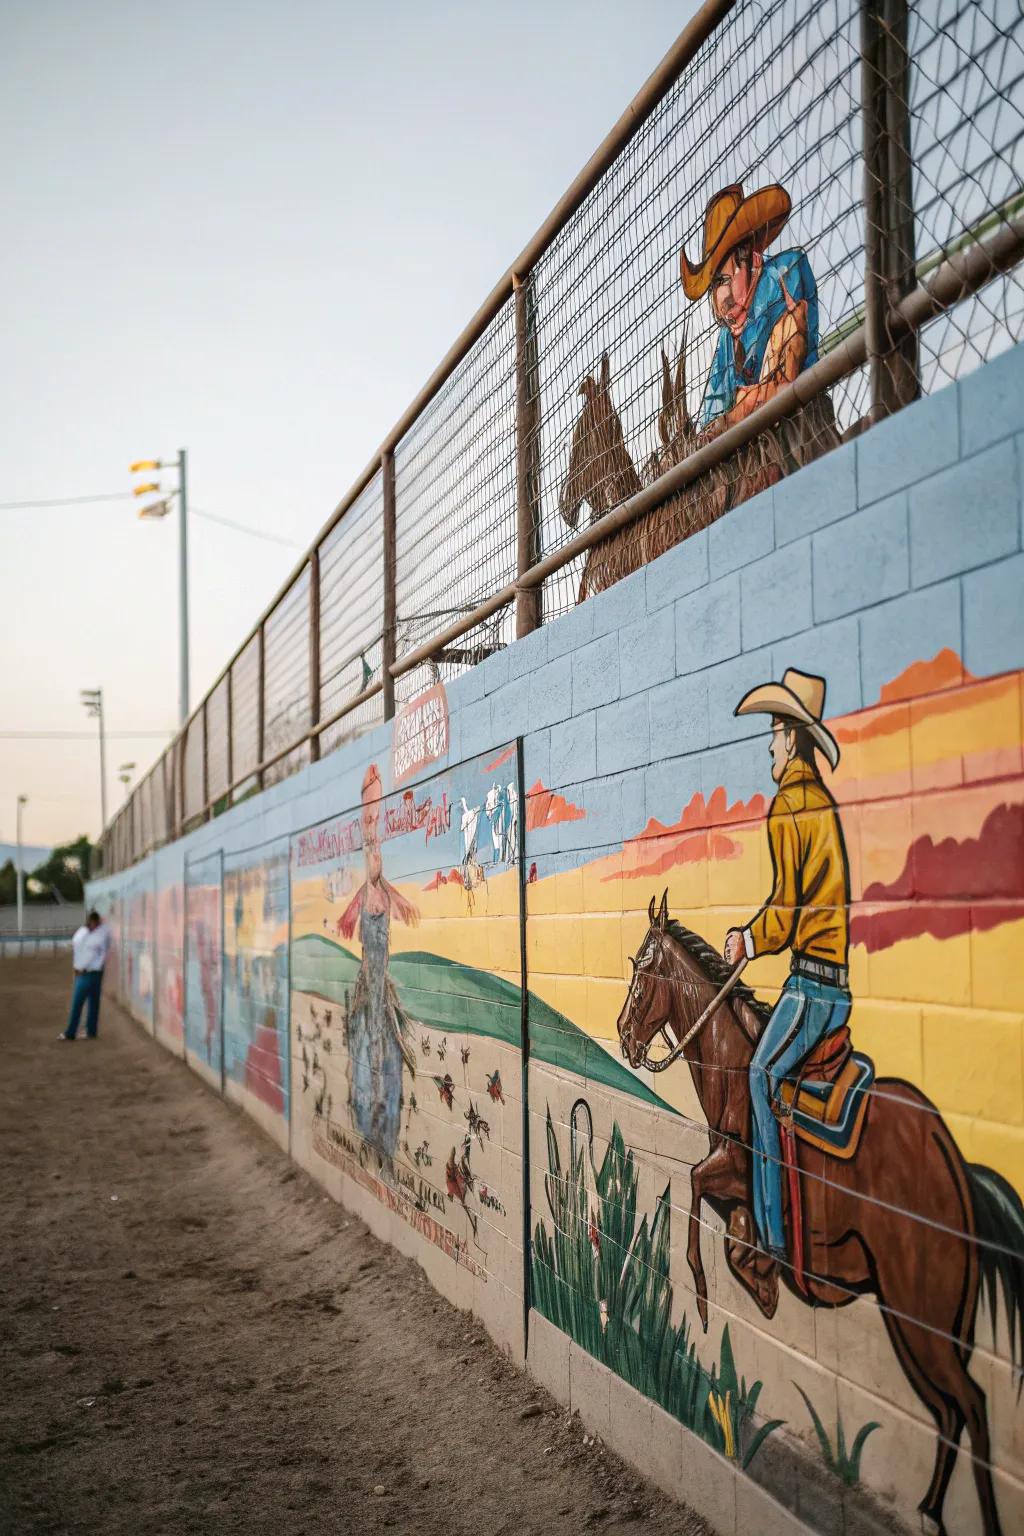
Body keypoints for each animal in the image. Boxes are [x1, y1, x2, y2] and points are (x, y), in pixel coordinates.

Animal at [617, 890, 1024, 1536]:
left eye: (641, 972)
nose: (623, 1036)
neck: (735, 1066)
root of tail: (955, 1161)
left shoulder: (736, 1166)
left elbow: (695, 1186)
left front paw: (717, 1294)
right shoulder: (735, 1186)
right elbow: (726, 1222)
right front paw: (760, 1278)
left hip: (921, 1308)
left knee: (971, 1406)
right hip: (915, 1317)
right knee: (949, 1412)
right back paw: (930, 1510)